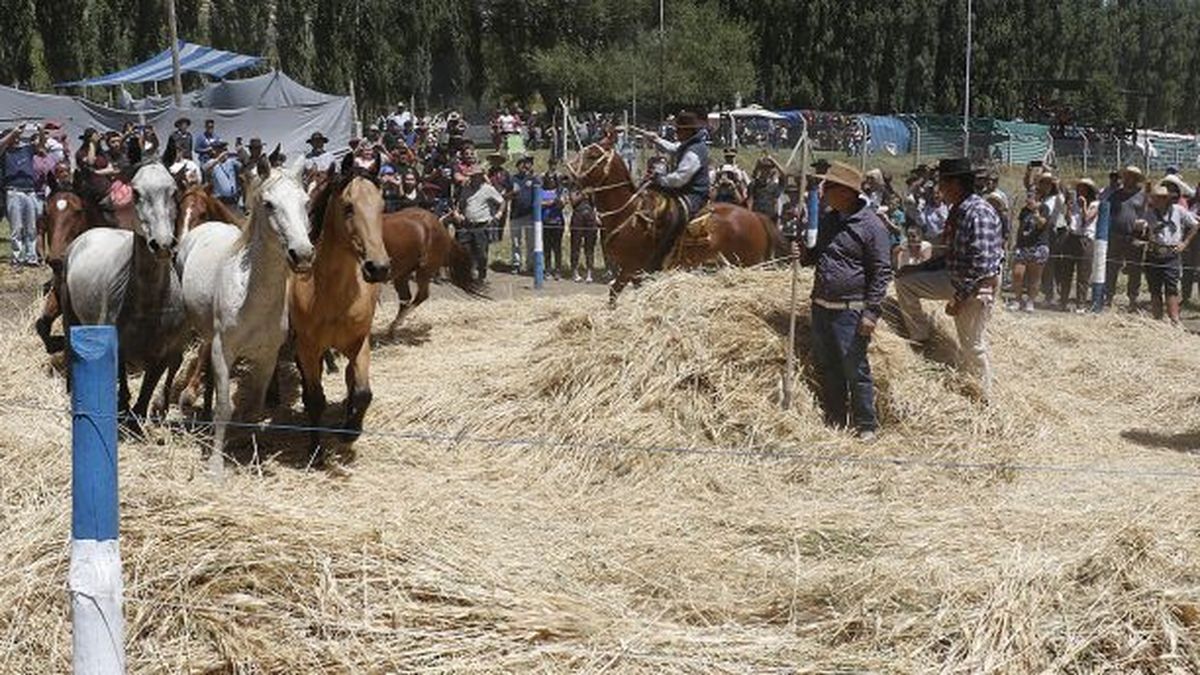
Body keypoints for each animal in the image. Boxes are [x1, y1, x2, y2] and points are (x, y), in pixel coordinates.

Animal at [62, 159, 184, 417]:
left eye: (174, 191)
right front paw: (121, 406)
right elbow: (122, 381)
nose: (162, 245)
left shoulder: (163, 356)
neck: (148, 305)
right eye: (136, 192)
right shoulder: (117, 346)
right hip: (69, 315)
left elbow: (145, 394)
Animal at [175, 162, 314, 473]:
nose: (302, 254)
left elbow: (255, 409)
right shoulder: (224, 350)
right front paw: (216, 465)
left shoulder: (267, 356)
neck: (251, 298)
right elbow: (224, 406)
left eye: (305, 202)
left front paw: (252, 454)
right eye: (269, 204)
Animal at [568, 130, 792, 302]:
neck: (628, 213)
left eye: (592, 155)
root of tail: (757, 218)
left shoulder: (632, 268)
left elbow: (614, 294)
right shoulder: (637, 274)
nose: (566, 175)